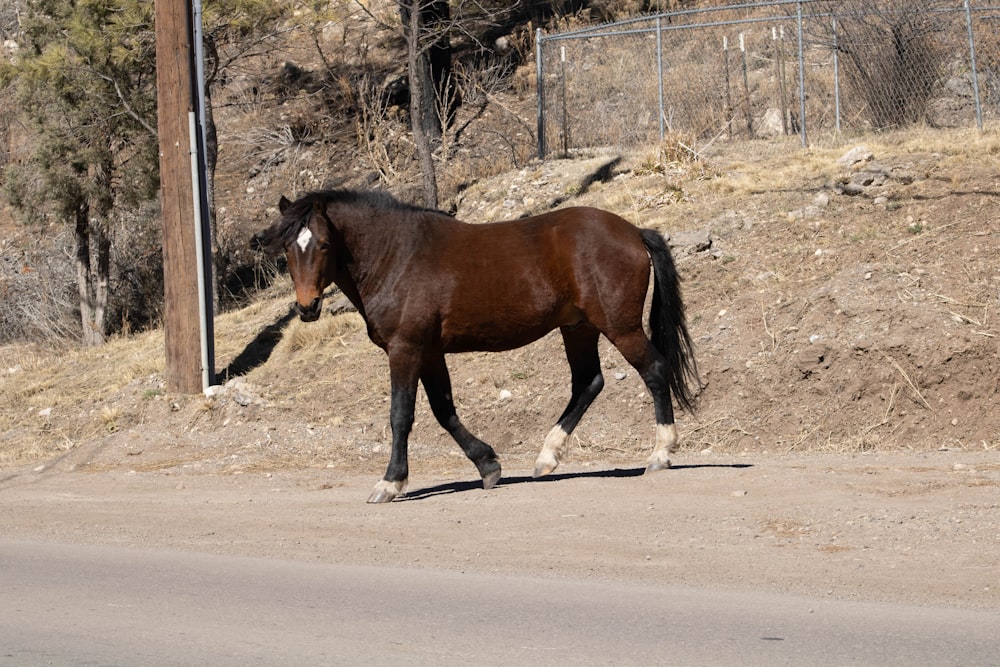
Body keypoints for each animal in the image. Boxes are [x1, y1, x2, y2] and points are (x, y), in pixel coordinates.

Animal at [254, 190, 700, 504]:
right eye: (289, 248)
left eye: (324, 244)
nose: (307, 307)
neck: (396, 256)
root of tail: (634, 231)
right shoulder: (430, 352)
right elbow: (444, 410)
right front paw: (487, 464)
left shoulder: (405, 349)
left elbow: (401, 416)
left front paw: (391, 482)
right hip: (578, 328)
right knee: (588, 383)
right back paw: (547, 457)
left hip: (619, 326)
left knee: (654, 371)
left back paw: (661, 454)